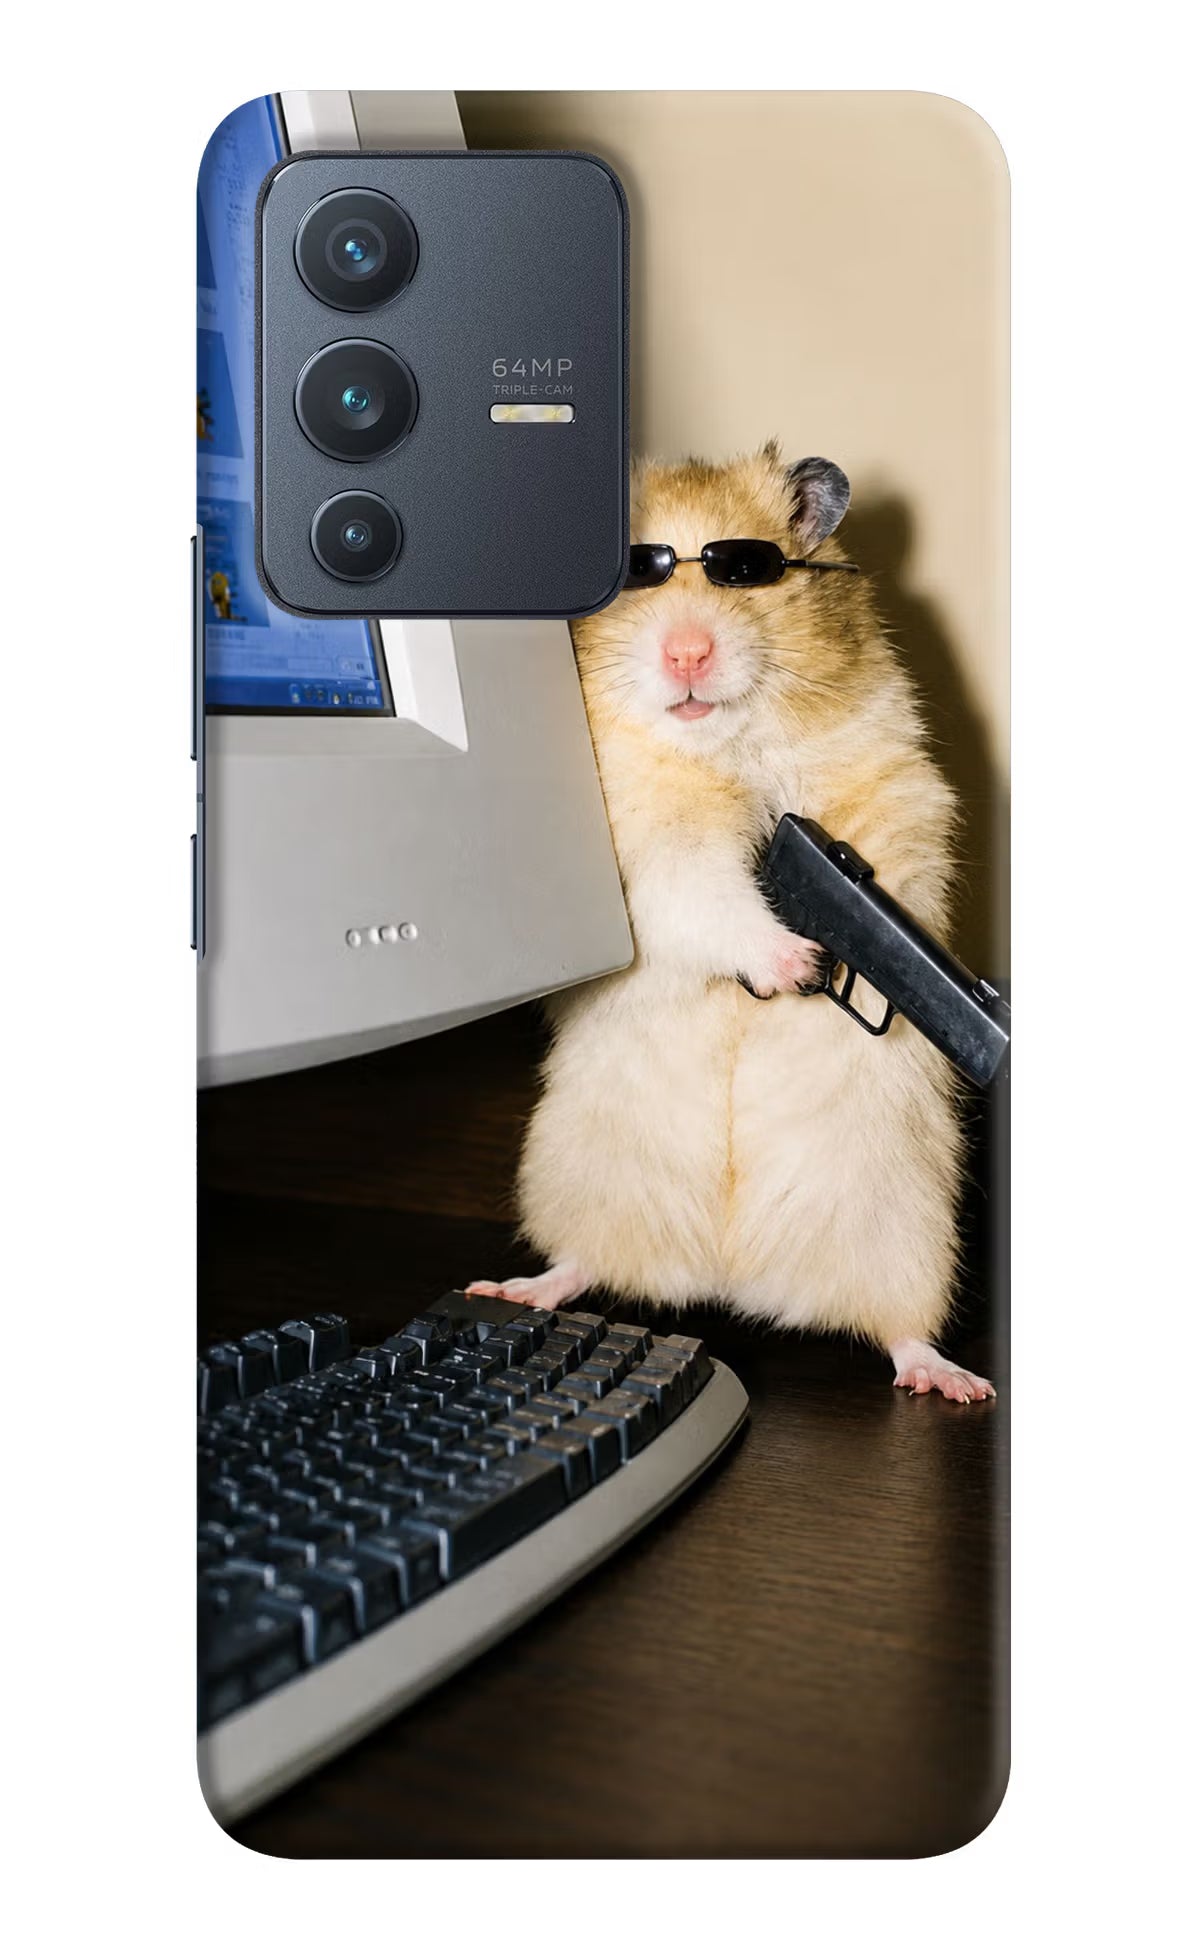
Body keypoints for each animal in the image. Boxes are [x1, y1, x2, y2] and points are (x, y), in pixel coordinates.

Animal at [469, 444, 994, 1402]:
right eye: (636, 572)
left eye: (747, 571)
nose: (687, 652)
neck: (724, 746)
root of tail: (730, 1276)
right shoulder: (650, 852)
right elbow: (707, 895)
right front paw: (797, 964)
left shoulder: (894, 789)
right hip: (579, 1175)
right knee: (582, 1262)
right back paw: (515, 1288)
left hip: (908, 1229)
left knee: (900, 1329)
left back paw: (954, 1381)